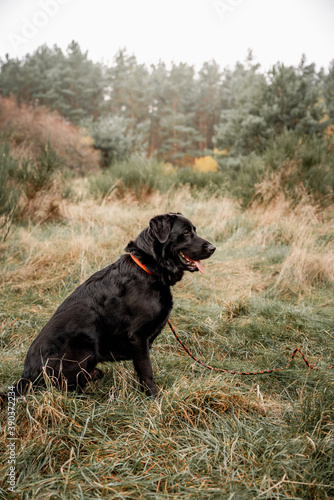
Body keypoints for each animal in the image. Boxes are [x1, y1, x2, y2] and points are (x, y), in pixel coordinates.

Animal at [15, 213, 215, 396]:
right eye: (186, 232)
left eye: (194, 230)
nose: (213, 248)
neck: (148, 269)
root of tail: (26, 378)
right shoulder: (138, 338)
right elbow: (146, 371)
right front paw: (154, 396)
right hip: (82, 345)